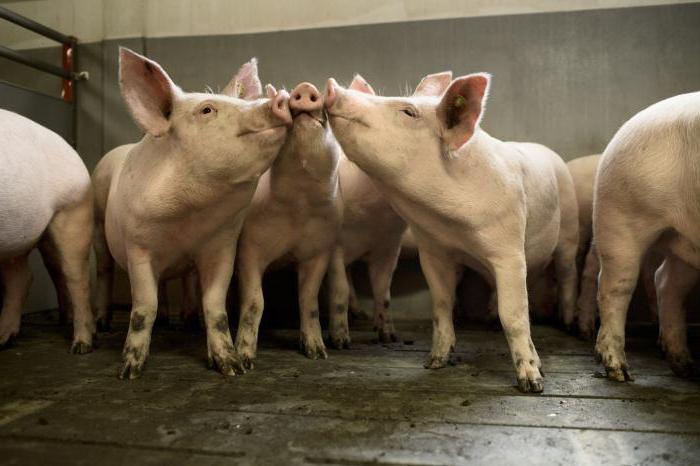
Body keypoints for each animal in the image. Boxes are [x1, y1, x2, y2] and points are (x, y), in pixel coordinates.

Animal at [0, 109, 94, 352]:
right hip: (18, 240)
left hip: (73, 211)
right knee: (23, 277)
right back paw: (4, 339)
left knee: (76, 275)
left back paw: (81, 345)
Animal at [107, 48, 291, 379]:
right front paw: (129, 373)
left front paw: (232, 368)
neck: (188, 219)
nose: (280, 96)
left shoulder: (222, 246)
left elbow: (215, 306)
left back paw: (187, 321)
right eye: (207, 110)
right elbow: (144, 307)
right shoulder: (137, 246)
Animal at [233, 81, 343, 368]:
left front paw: (318, 353)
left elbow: (309, 299)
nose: (305, 87)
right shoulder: (249, 247)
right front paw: (245, 360)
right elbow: (255, 302)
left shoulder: (320, 250)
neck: (299, 205)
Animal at [326, 75, 409, 347]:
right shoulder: (334, 243)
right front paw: (341, 342)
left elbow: (384, 291)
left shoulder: (389, 246)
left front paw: (390, 337)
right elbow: (339, 288)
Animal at [593, 92, 700, 381]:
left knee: (666, 282)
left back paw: (685, 367)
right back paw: (619, 372)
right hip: (619, 216)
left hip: (687, 243)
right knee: (615, 287)